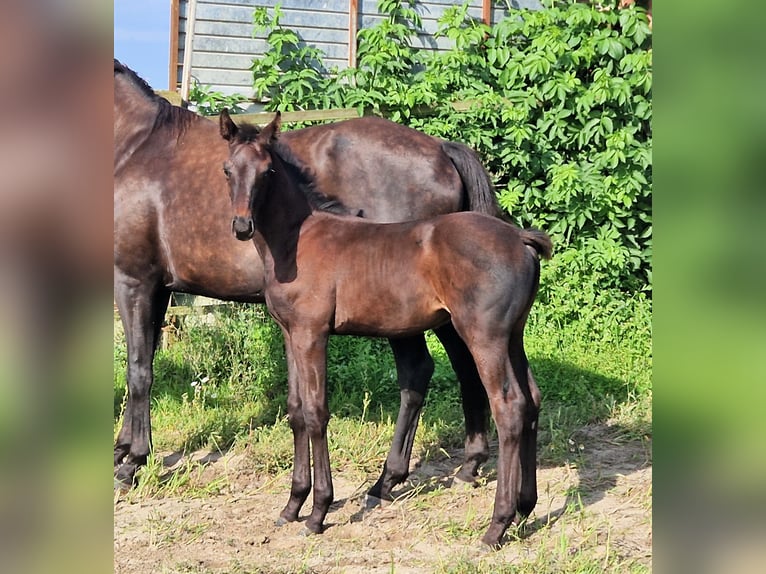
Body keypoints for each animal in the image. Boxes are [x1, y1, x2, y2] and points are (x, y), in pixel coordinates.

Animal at [115, 59, 498, 500]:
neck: (138, 146)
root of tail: (440, 150)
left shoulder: (133, 281)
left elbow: (138, 370)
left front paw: (132, 461)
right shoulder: (158, 288)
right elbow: (145, 360)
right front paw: (123, 449)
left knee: (420, 371)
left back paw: (392, 477)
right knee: (463, 364)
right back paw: (465, 465)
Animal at [218, 111, 552, 548]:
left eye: (267, 170)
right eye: (228, 170)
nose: (242, 225)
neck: (298, 241)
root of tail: (519, 238)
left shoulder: (312, 334)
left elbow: (316, 413)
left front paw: (318, 511)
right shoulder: (291, 334)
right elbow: (295, 411)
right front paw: (291, 506)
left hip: (485, 337)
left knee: (509, 407)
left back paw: (496, 525)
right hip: (513, 335)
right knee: (531, 399)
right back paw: (526, 507)